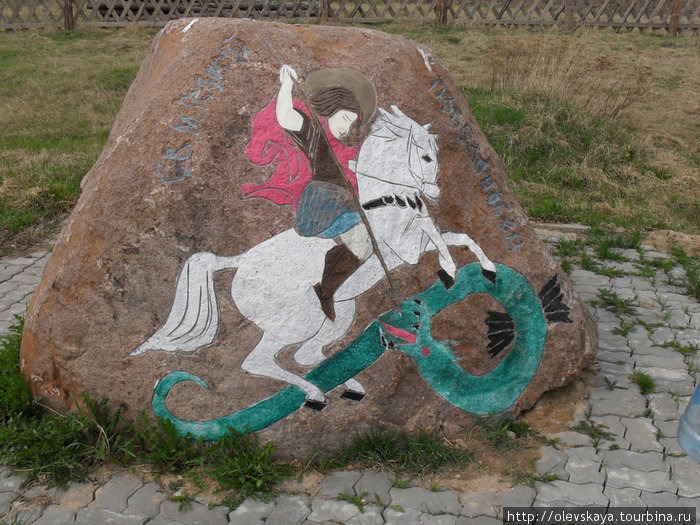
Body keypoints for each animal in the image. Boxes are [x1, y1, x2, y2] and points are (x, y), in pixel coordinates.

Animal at [130, 106, 492, 408]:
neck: (388, 200)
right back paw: (315, 394)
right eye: (426, 157)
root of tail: (240, 261)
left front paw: (487, 269)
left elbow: (459, 235)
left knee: (306, 355)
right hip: (297, 321)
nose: (435, 193)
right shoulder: (406, 249)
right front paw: (449, 271)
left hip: (337, 315)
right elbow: (437, 234)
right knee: (258, 361)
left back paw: (349, 386)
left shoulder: (414, 244)